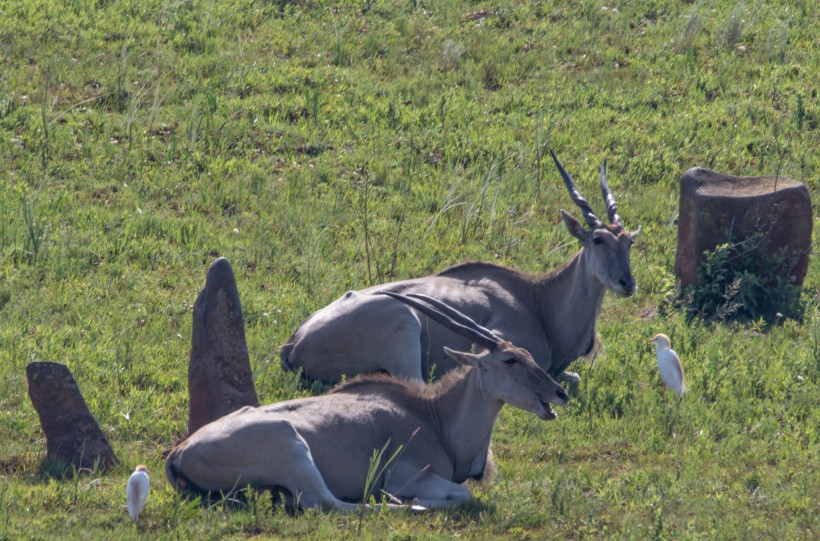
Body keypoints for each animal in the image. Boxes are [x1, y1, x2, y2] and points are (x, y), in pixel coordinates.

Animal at [163, 292, 568, 510]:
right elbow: (462, 494)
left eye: (527, 355)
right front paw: (409, 500)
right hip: (292, 448)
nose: (559, 393)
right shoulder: (407, 475)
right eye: (510, 360)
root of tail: (178, 453)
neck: (434, 416)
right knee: (326, 503)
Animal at [282, 150, 640, 382]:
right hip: (403, 321)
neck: (539, 301)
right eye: (598, 240)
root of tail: (294, 344)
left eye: (629, 242)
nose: (628, 283)